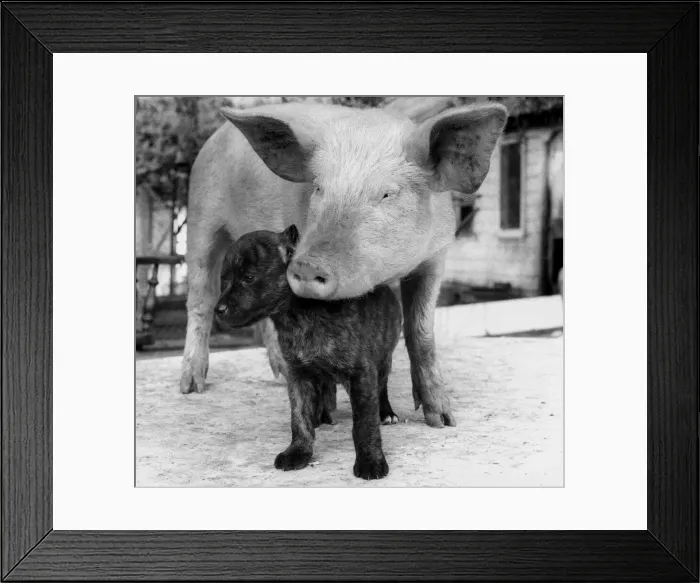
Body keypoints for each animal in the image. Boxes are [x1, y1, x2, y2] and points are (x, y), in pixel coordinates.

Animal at [180, 100, 507, 429]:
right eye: (318, 188)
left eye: (387, 194)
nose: (308, 265)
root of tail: (215, 136)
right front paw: (327, 415)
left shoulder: (435, 258)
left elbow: (421, 333)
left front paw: (442, 420)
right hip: (200, 218)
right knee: (201, 300)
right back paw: (190, 387)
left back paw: (281, 375)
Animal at [215, 226, 401, 479]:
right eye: (224, 279)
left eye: (248, 278)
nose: (218, 310)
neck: (299, 314)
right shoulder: (298, 374)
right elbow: (299, 417)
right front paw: (298, 452)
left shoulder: (362, 372)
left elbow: (365, 422)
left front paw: (370, 460)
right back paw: (320, 416)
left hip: (384, 359)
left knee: (382, 387)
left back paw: (386, 412)